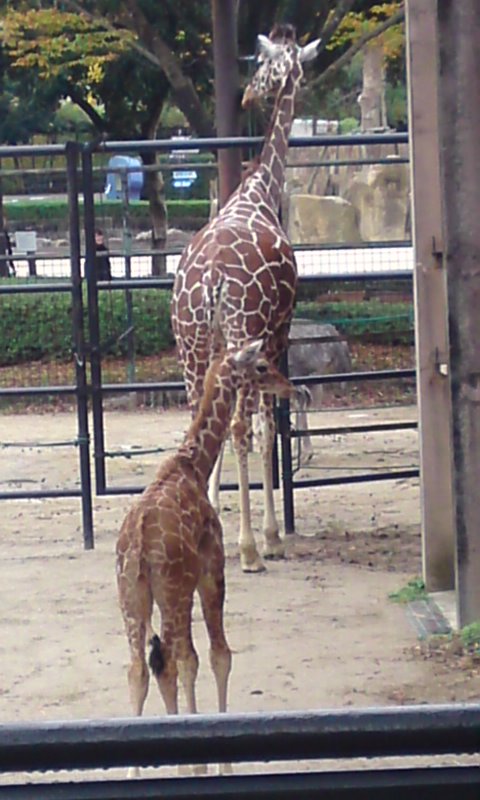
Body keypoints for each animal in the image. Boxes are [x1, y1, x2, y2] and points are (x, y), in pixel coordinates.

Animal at [117, 338, 296, 732]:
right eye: (261, 366)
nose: (288, 387)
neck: (192, 466)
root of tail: (138, 547)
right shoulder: (212, 571)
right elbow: (217, 655)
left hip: (132, 599)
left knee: (138, 670)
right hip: (173, 592)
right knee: (173, 662)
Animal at [171, 25, 320, 572]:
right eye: (264, 62)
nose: (248, 95)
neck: (259, 189)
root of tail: (213, 278)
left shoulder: (221, 348)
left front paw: (212, 509)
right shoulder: (277, 332)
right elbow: (266, 427)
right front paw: (272, 536)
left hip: (190, 340)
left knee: (198, 413)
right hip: (244, 328)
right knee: (239, 426)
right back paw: (253, 549)